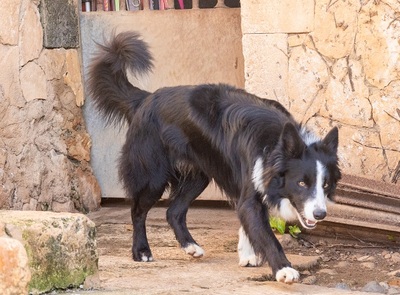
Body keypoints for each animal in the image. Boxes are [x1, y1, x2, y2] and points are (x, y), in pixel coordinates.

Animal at [87, 31, 340, 284]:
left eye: (325, 185)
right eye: (301, 183)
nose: (320, 214)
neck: (276, 142)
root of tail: (146, 99)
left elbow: (246, 218)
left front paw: (247, 255)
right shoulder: (251, 185)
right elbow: (265, 233)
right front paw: (284, 269)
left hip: (198, 175)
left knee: (173, 211)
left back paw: (190, 246)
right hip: (153, 174)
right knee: (138, 211)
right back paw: (141, 252)